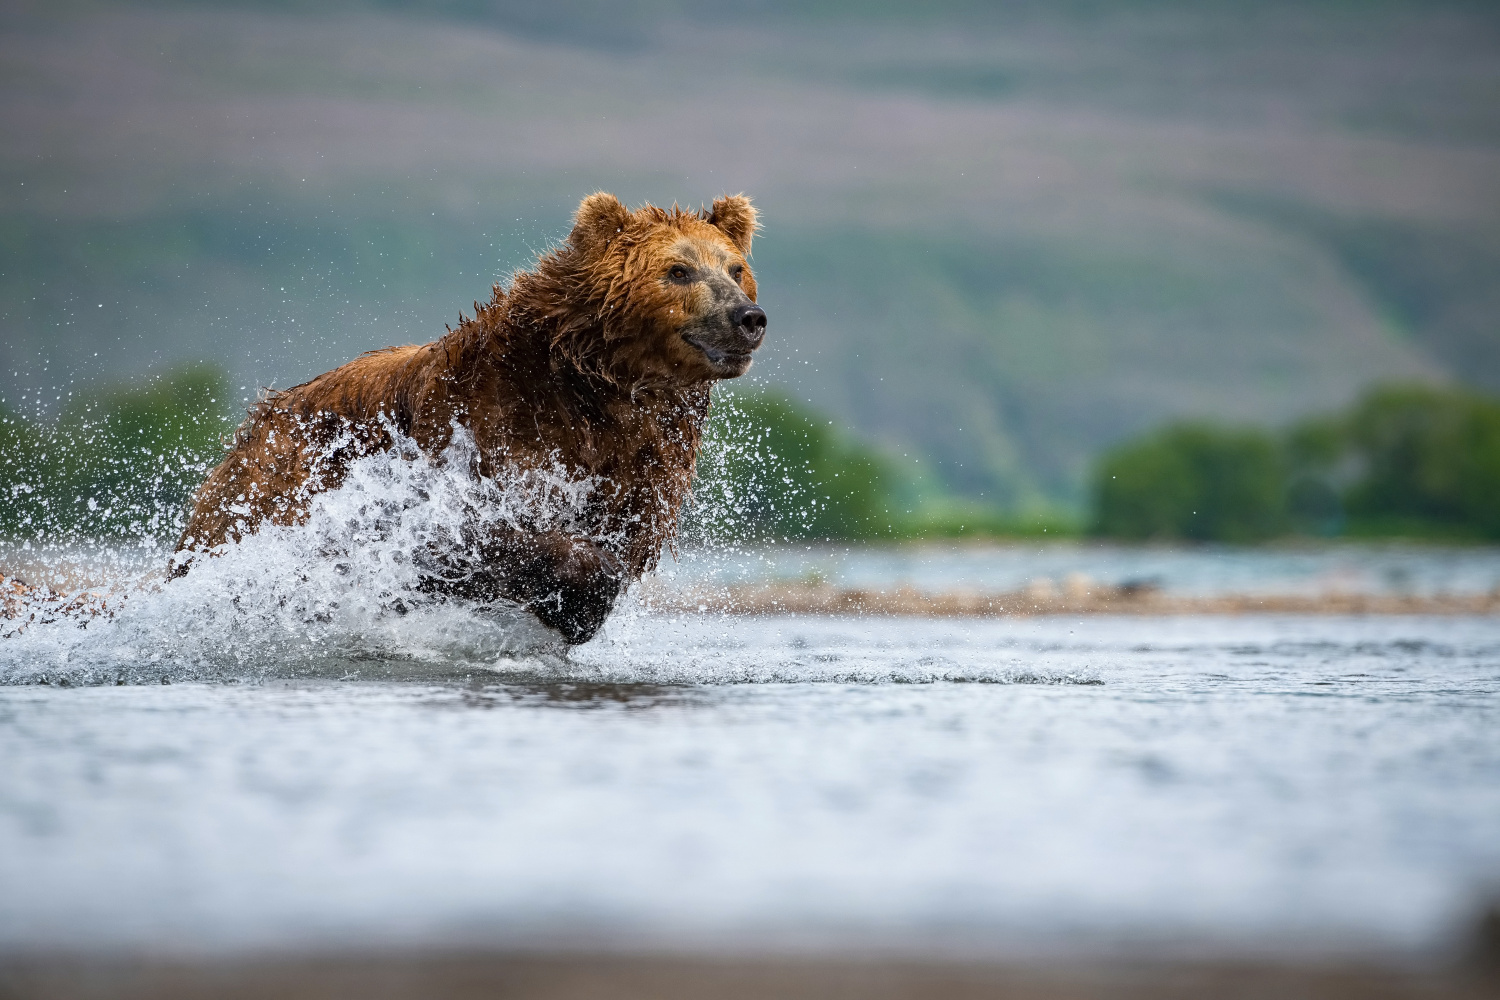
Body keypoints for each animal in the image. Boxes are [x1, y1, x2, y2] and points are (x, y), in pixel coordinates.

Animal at [170, 193, 768, 644]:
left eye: (736, 268)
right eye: (678, 270)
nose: (748, 317)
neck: (596, 384)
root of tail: (255, 423)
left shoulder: (644, 459)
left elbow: (627, 535)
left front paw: (579, 606)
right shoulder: (488, 422)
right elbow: (469, 533)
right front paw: (575, 593)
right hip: (275, 492)